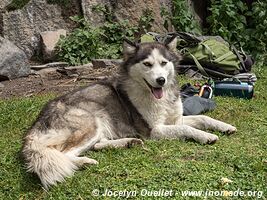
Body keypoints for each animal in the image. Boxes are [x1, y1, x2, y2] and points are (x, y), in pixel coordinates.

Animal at [22, 36, 238, 188]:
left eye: (164, 63)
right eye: (147, 64)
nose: (161, 80)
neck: (158, 97)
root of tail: (37, 122)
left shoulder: (175, 120)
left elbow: (203, 117)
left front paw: (225, 126)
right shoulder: (154, 130)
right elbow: (188, 130)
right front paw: (206, 136)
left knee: (97, 145)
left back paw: (128, 142)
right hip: (90, 122)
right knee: (62, 154)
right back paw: (84, 162)